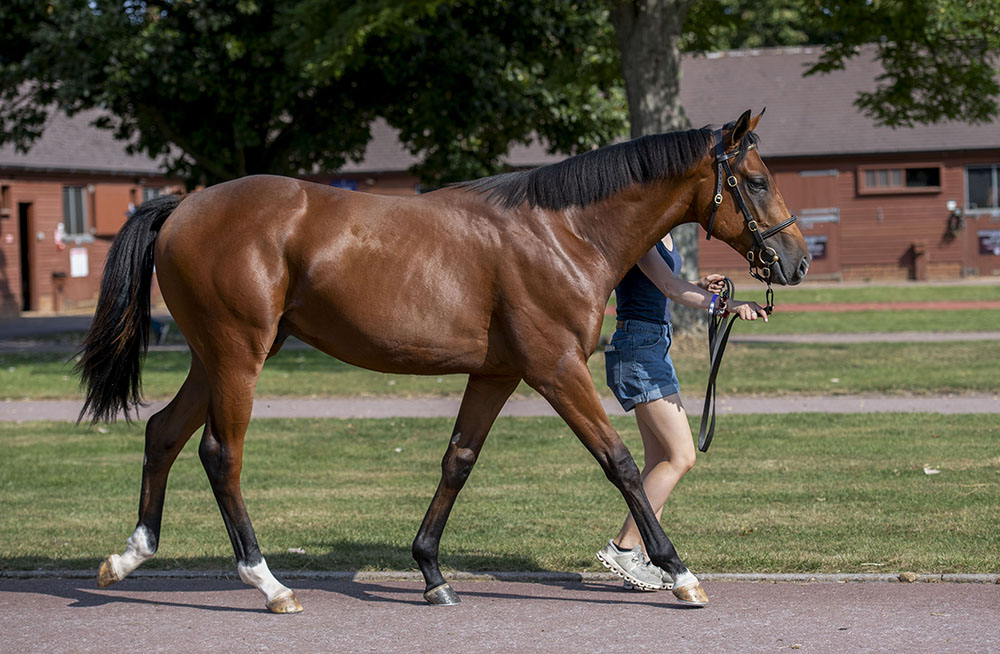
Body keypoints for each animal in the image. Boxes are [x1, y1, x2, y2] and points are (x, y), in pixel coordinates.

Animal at [80, 109, 812, 616]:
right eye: (756, 180)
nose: (796, 261)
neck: (562, 232)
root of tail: (184, 206)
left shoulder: (497, 373)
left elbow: (458, 461)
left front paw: (431, 572)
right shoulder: (556, 369)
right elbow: (622, 462)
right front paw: (678, 571)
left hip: (216, 356)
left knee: (164, 433)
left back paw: (129, 556)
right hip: (239, 355)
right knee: (220, 454)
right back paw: (268, 584)